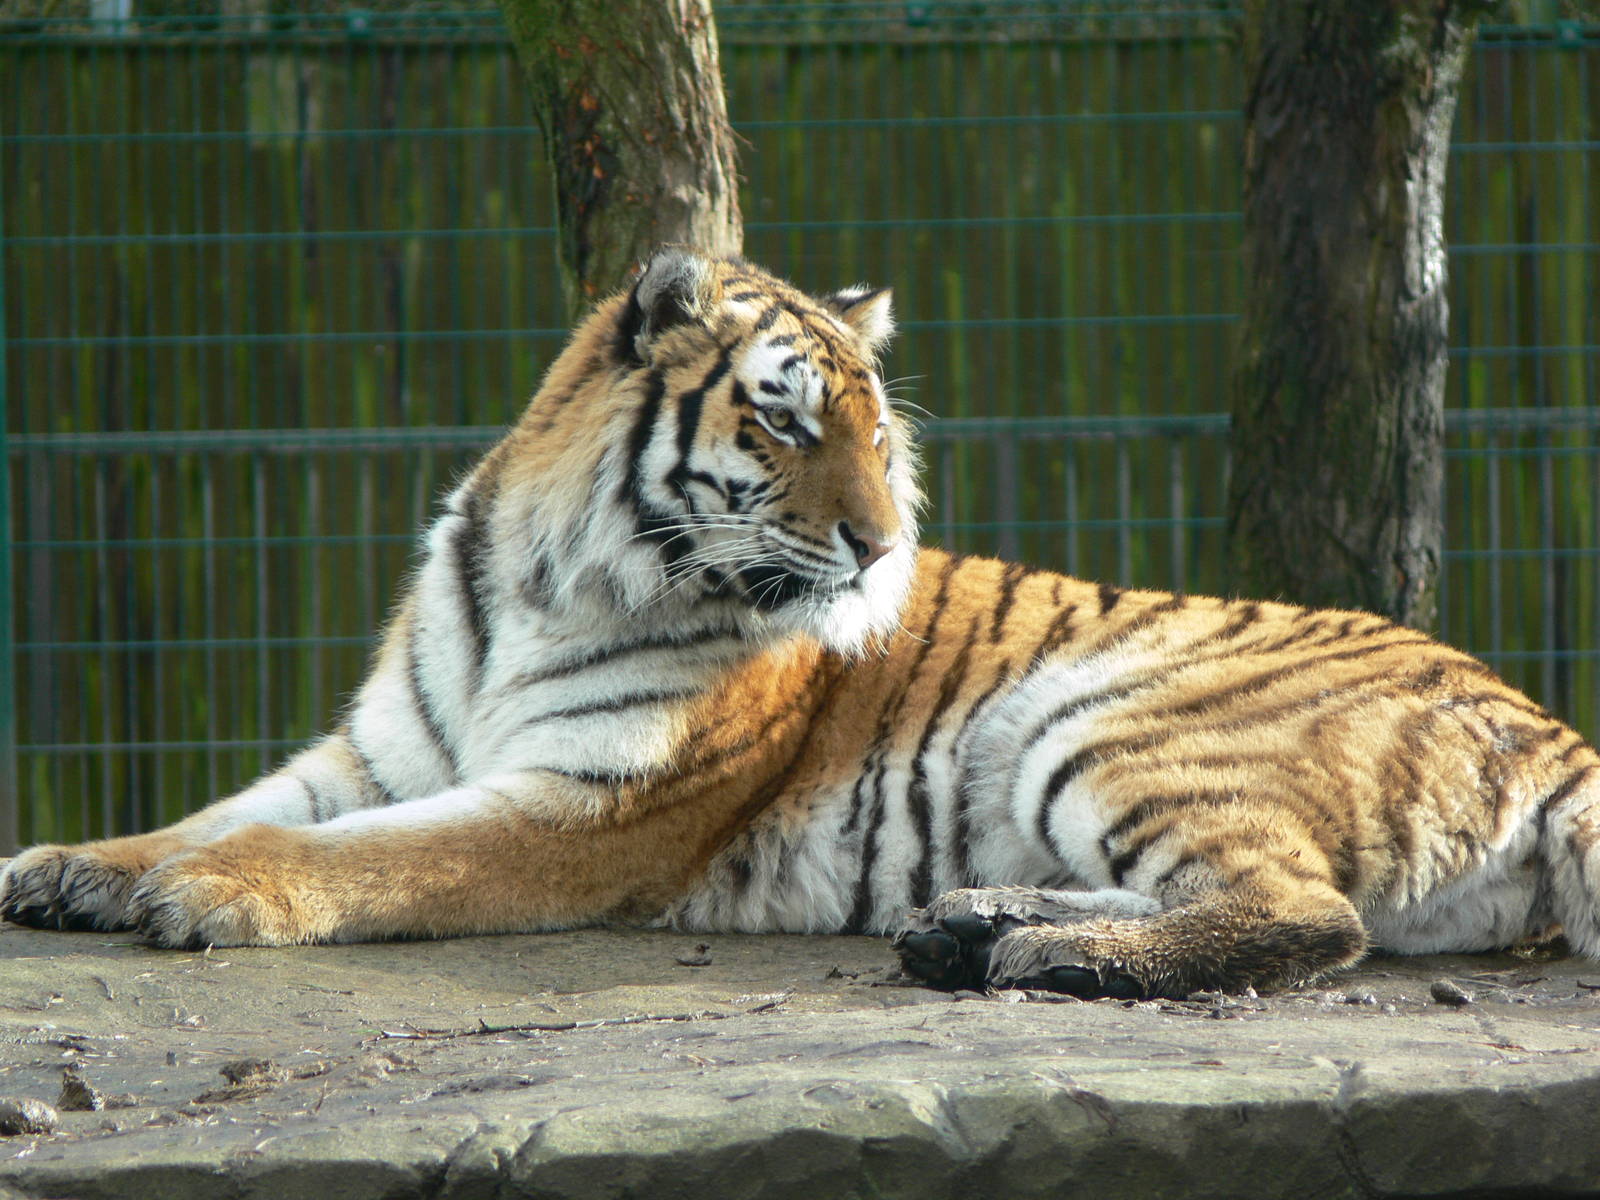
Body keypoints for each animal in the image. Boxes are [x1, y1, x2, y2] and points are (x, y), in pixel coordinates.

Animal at [4, 247, 1599, 1001]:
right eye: (787, 421)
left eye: (880, 438)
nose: (884, 545)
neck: (540, 578)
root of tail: (1551, 725)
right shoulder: (380, 753)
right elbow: (226, 808)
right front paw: (73, 867)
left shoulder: (587, 807)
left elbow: (366, 859)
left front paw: (212, 897)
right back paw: (973, 925)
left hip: (1107, 720)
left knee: (1306, 915)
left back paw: (1047, 960)